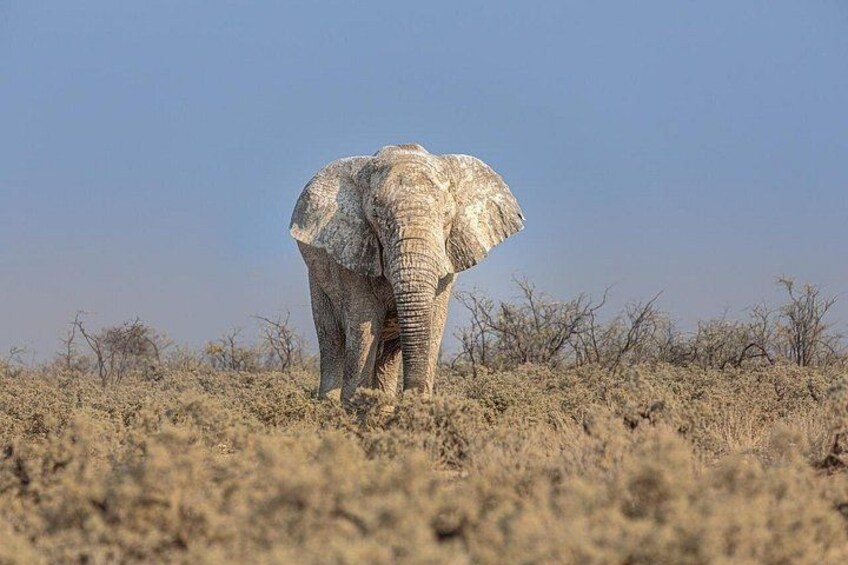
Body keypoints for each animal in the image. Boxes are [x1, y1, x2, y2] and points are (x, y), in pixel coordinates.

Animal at [290, 143, 524, 404]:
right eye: (376, 216)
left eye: (446, 215)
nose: (412, 399)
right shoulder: (351, 253)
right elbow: (363, 326)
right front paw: (353, 408)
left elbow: (434, 324)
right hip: (318, 280)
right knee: (332, 340)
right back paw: (328, 404)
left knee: (388, 354)